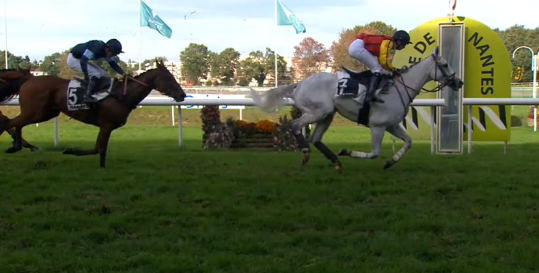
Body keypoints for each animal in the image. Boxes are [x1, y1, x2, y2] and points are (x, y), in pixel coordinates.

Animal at [0, 58, 187, 167]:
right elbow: (98, 149)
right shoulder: (106, 125)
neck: (121, 95)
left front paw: (102, 167)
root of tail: (28, 81)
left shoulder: (107, 127)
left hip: (45, 113)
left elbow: (100, 150)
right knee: (9, 122)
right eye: (169, 77)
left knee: (14, 123)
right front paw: (70, 150)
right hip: (36, 113)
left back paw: (17, 146)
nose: (182, 95)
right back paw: (16, 146)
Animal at [251, 45, 462, 171]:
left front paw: (391, 161)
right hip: (318, 111)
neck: (399, 88)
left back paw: (335, 161)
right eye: (445, 64)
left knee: (316, 138)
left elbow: (408, 141)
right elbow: (375, 153)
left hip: (327, 115)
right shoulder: (378, 126)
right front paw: (348, 151)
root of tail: (299, 84)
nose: (459, 82)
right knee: (295, 125)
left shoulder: (391, 125)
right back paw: (306, 153)